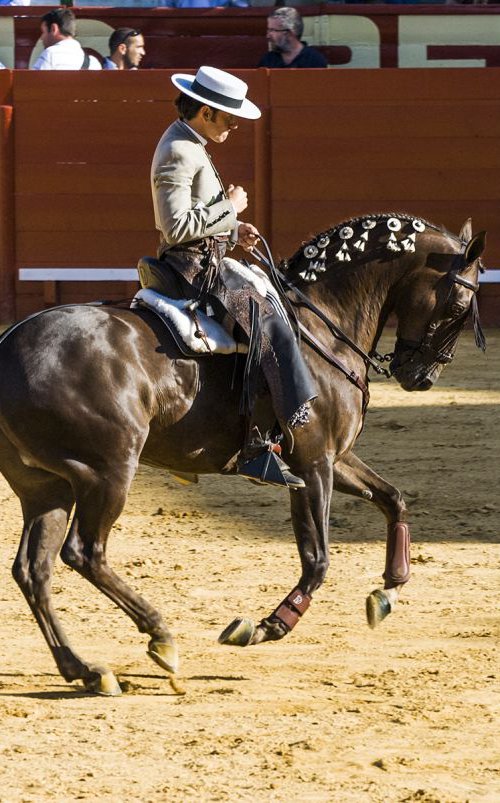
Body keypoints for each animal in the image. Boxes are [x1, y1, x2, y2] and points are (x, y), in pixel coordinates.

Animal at [0, 215, 486, 696]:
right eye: (459, 306)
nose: (420, 376)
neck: (324, 328)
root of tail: (9, 346)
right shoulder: (314, 464)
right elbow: (317, 558)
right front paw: (267, 626)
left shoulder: (331, 459)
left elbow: (393, 499)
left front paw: (388, 591)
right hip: (108, 472)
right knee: (84, 552)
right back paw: (160, 637)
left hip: (47, 486)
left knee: (33, 569)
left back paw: (83, 668)